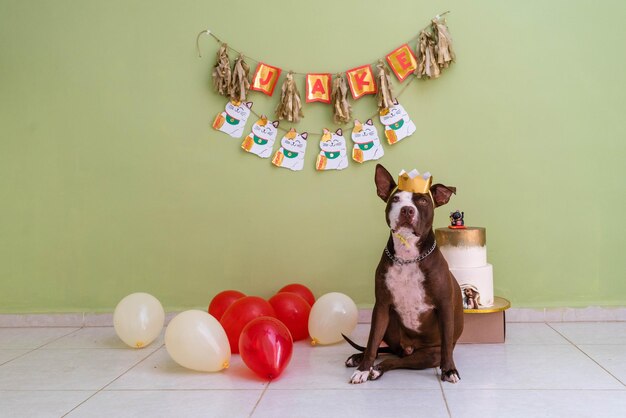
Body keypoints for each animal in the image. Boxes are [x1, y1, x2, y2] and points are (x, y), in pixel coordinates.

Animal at [344, 164, 460, 386]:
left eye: (422, 200)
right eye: (396, 199)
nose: (407, 209)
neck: (408, 257)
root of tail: (406, 349)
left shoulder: (445, 305)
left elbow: (447, 347)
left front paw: (449, 369)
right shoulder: (381, 306)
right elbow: (372, 341)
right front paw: (362, 369)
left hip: (428, 355)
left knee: (395, 361)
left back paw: (377, 370)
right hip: (390, 324)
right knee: (383, 350)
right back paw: (360, 360)